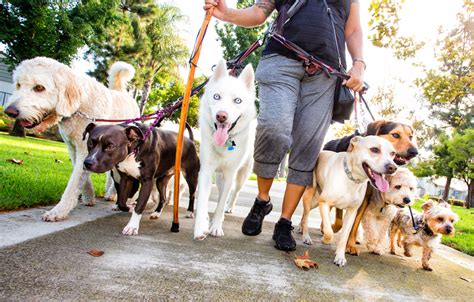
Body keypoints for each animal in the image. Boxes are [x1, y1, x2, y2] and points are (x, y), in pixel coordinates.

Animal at [5, 57, 139, 222]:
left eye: (39, 88)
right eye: (18, 84)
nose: (9, 111)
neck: (79, 105)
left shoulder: (85, 151)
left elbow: (74, 183)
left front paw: (59, 210)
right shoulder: (74, 148)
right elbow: (82, 175)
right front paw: (88, 196)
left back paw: (114, 193)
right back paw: (110, 192)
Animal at [193, 59, 258, 239]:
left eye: (237, 100)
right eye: (217, 96)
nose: (221, 116)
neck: (225, 143)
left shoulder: (230, 174)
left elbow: (221, 204)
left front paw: (216, 226)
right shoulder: (206, 170)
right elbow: (203, 199)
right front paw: (201, 226)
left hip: (242, 174)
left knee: (234, 192)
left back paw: (229, 208)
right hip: (219, 176)